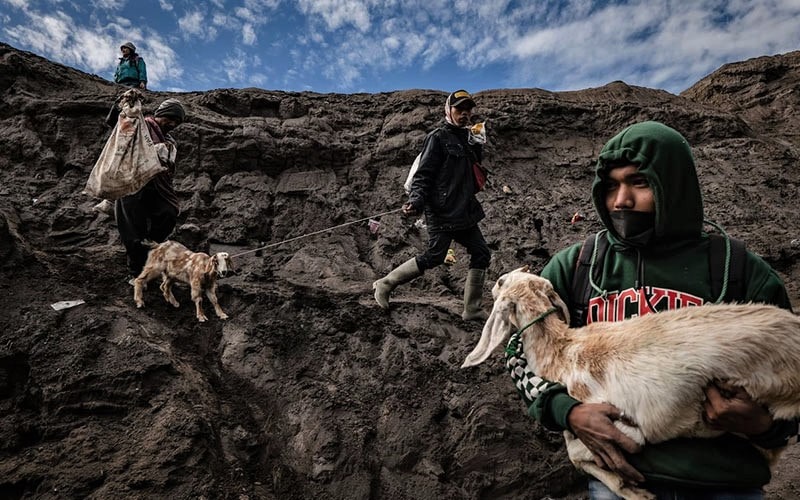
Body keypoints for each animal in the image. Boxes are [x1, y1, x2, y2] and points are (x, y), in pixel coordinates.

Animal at [460, 268, 800, 498]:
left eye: (501, 284)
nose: (500, 277)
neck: (561, 353)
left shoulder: (623, 428)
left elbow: (578, 455)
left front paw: (634, 490)